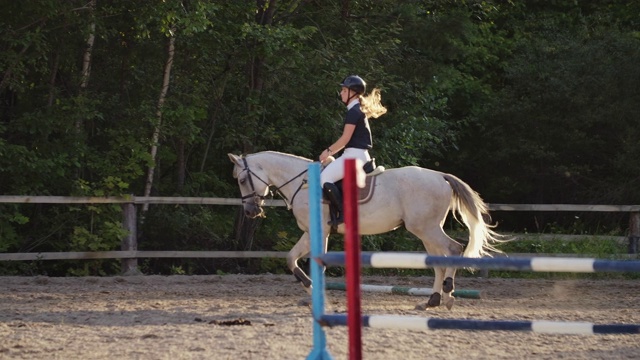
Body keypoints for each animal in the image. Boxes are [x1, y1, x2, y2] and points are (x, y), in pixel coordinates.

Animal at [228, 150, 502, 308]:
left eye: (241, 180)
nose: (251, 212)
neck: (302, 183)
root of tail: (440, 176)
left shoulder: (318, 231)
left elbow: (306, 261)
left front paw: (312, 289)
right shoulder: (313, 232)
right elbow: (295, 259)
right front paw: (312, 290)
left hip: (426, 228)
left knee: (453, 249)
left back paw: (447, 293)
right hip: (425, 230)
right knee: (438, 259)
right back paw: (432, 300)